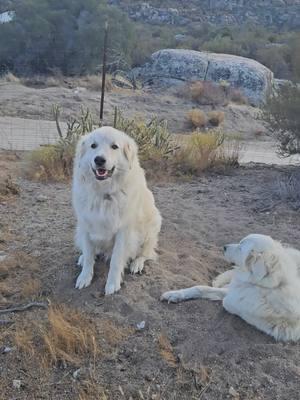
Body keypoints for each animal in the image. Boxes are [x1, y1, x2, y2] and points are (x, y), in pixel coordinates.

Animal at [72, 126, 162, 296]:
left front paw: (112, 284)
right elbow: (89, 255)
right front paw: (85, 277)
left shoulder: (123, 231)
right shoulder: (86, 225)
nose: (99, 160)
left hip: (152, 226)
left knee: (146, 254)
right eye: (93, 146)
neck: (104, 193)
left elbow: (116, 260)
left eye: (114, 146)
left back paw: (137, 264)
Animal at [162, 233, 300, 342]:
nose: (224, 247)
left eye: (240, 248)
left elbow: (227, 302)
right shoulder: (233, 291)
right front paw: (175, 294)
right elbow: (200, 288)